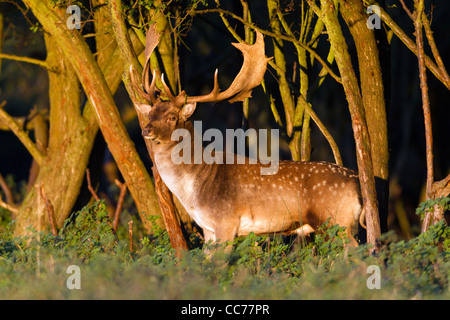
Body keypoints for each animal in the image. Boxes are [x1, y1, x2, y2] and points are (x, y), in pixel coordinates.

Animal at [130, 25, 366, 250]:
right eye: (150, 114)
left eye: (172, 116)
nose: (146, 130)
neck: (195, 189)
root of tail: (357, 181)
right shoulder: (208, 229)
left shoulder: (225, 221)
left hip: (335, 221)